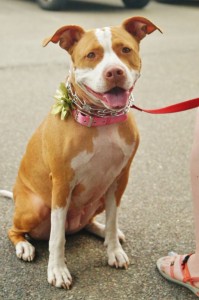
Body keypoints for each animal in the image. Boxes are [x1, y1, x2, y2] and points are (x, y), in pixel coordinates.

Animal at [0, 16, 161, 288]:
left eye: (125, 50)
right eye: (91, 55)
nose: (114, 71)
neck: (101, 120)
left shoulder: (120, 179)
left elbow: (113, 218)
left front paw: (114, 250)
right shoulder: (62, 184)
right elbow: (57, 238)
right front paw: (57, 270)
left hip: (98, 197)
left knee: (89, 223)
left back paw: (101, 231)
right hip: (34, 208)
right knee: (17, 230)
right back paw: (24, 246)